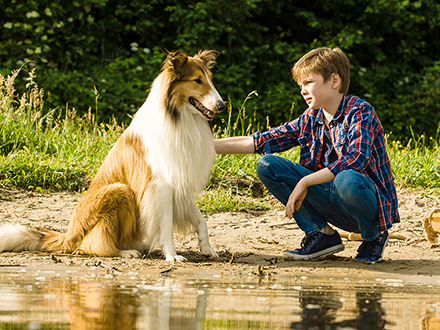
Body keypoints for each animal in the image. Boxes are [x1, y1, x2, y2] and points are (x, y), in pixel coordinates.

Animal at [0, 49, 225, 260]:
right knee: (93, 245)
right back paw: (125, 252)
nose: (222, 105)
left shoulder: (180, 181)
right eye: (197, 80)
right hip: (119, 190)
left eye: (210, 79)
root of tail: (69, 235)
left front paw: (207, 249)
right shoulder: (161, 184)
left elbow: (201, 220)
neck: (179, 117)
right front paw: (172, 255)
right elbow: (166, 226)